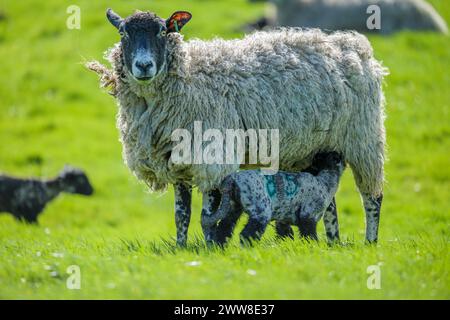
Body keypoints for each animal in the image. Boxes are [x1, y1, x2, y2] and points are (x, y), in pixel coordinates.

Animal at [201, 152, 344, 245]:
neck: (325, 181)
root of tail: (232, 179)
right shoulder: (307, 215)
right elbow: (309, 236)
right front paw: (312, 248)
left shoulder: (284, 219)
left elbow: (286, 235)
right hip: (261, 209)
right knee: (247, 234)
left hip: (233, 207)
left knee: (224, 228)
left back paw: (220, 248)